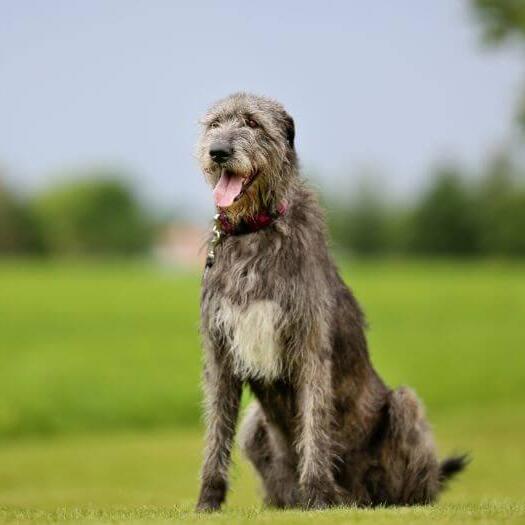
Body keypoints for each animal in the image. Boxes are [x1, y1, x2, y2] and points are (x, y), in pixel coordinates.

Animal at [194, 92, 464, 510]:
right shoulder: (220, 350)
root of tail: (359, 496)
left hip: (404, 406)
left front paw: (319, 494)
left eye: (253, 123)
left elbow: (314, 422)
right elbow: (216, 431)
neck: (254, 232)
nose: (218, 151)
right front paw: (207, 501)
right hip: (255, 425)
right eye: (214, 124)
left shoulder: (309, 344)